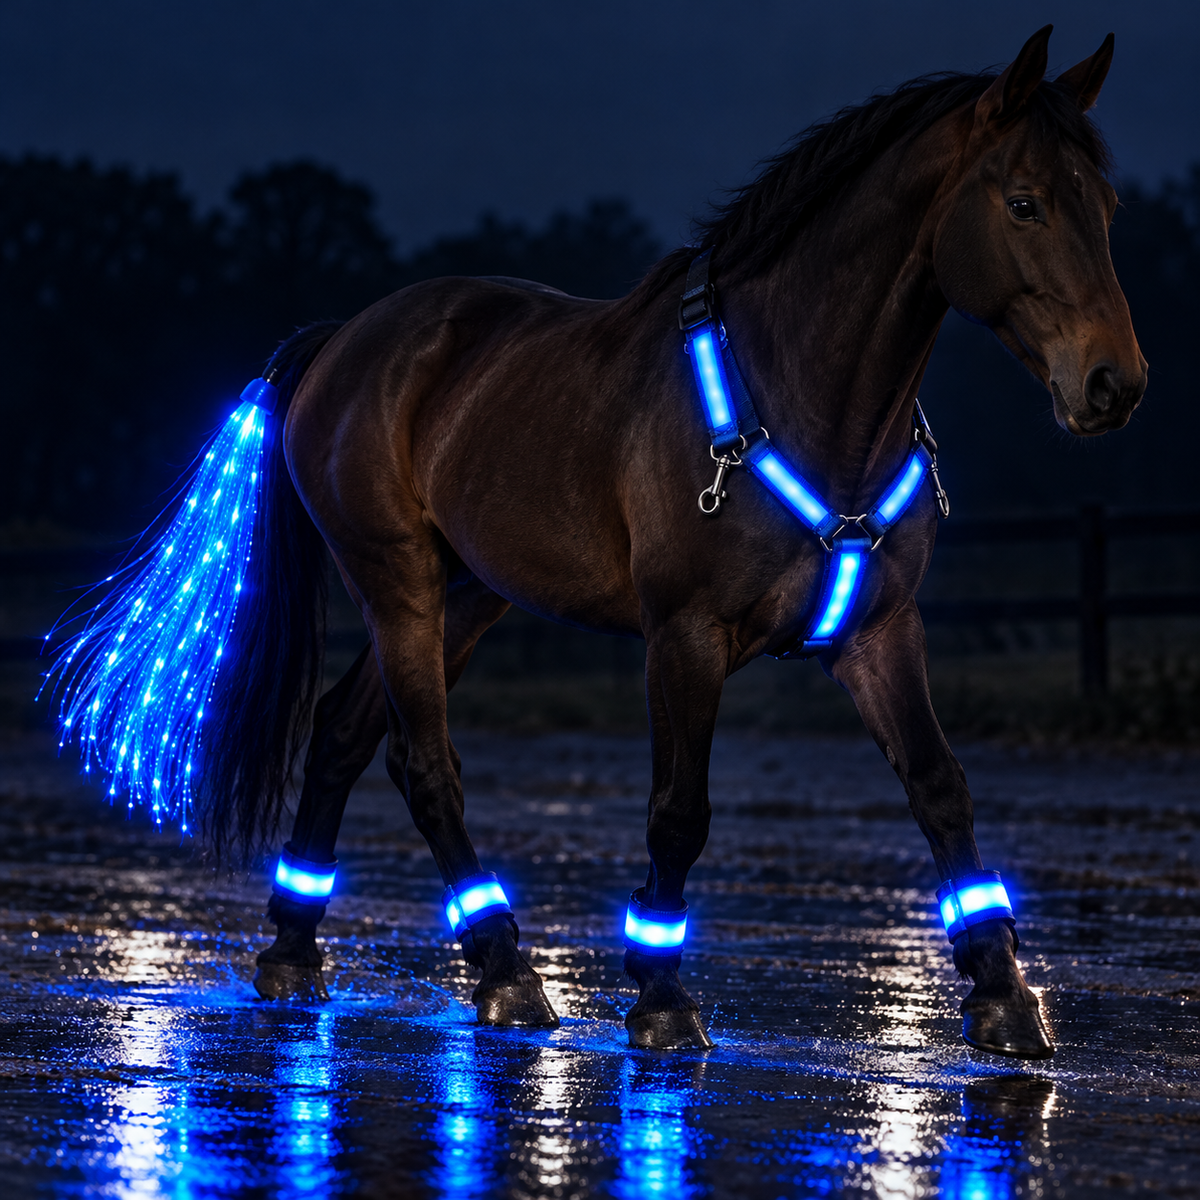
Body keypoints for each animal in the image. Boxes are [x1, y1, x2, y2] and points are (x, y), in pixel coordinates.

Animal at [51, 25, 1145, 1059]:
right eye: (1024, 204)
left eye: (1107, 208)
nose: (1112, 384)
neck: (802, 398)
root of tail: (343, 341)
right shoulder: (686, 637)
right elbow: (678, 810)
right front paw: (660, 999)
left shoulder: (879, 631)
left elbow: (940, 788)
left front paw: (1003, 995)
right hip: (398, 584)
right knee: (424, 761)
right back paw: (504, 970)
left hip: (470, 595)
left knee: (344, 736)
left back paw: (294, 948)